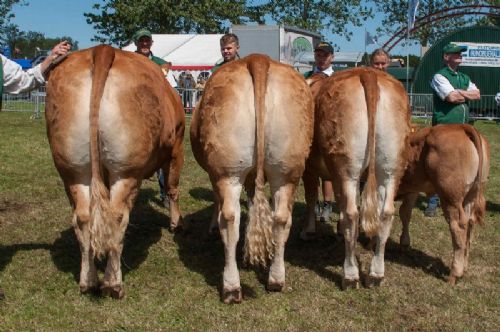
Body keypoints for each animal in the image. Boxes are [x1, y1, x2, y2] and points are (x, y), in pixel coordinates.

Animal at [45, 44, 185, 298]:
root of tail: (102, 50)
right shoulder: (177, 148)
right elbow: (172, 188)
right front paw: (177, 225)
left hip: (72, 170)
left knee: (83, 217)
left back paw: (88, 281)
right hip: (126, 171)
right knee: (118, 216)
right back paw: (113, 283)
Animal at [189, 53, 314, 304]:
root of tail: (257, 59)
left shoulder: (214, 174)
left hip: (227, 171)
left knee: (229, 218)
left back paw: (231, 286)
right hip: (287, 170)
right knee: (281, 219)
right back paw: (276, 279)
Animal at [300, 67, 410, 288]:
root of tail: (368, 73)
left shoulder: (309, 169)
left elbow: (311, 198)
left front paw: (308, 231)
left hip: (346, 168)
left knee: (352, 213)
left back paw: (350, 275)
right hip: (391, 166)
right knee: (385, 212)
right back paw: (376, 273)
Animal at [396, 123, 490, 284]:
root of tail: (460, 127)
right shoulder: (412, 189)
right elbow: (405, 213)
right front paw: (404, 243)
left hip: (450, 196)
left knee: (458, 226)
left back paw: (454, 273)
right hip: (471, 195)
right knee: (470, 224)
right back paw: (464, 267)